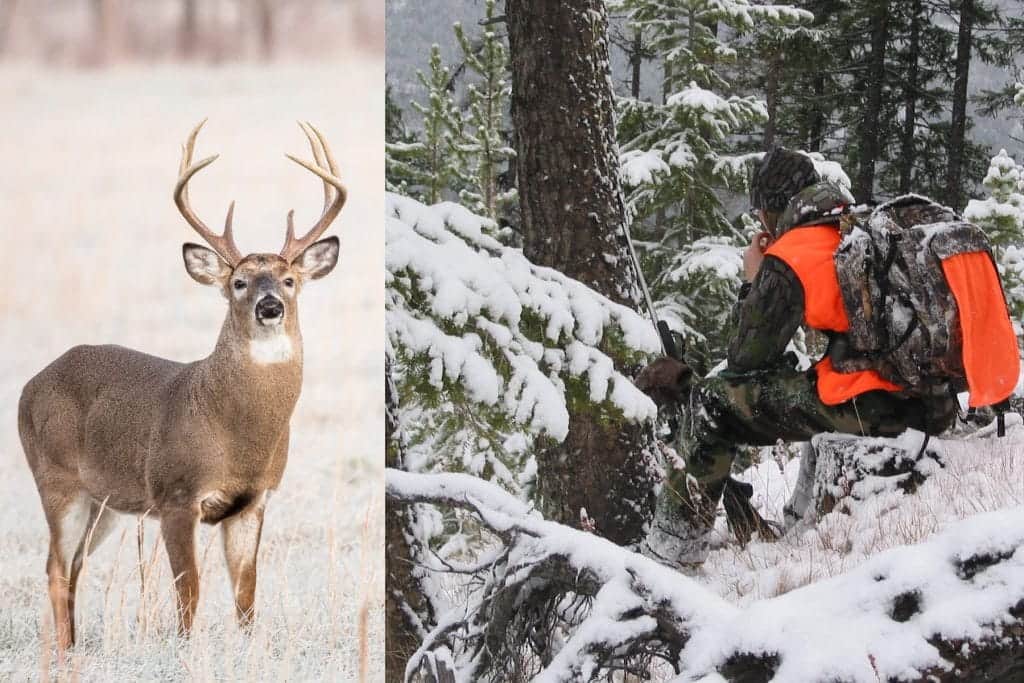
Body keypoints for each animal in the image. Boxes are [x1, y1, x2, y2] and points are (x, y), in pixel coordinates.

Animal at [18, 120, 345, 649]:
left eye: (290, 279)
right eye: (238, 283)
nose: (269, 306)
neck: (236, 433)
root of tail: (30, 384)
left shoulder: (254, 500)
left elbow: (246, 596)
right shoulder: (175, 493)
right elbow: (188, 591)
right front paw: (187, 652)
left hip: (104, 500)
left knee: (73, 565)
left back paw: (72, 646)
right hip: (56, 478)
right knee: (55, 566)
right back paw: (66, 652)